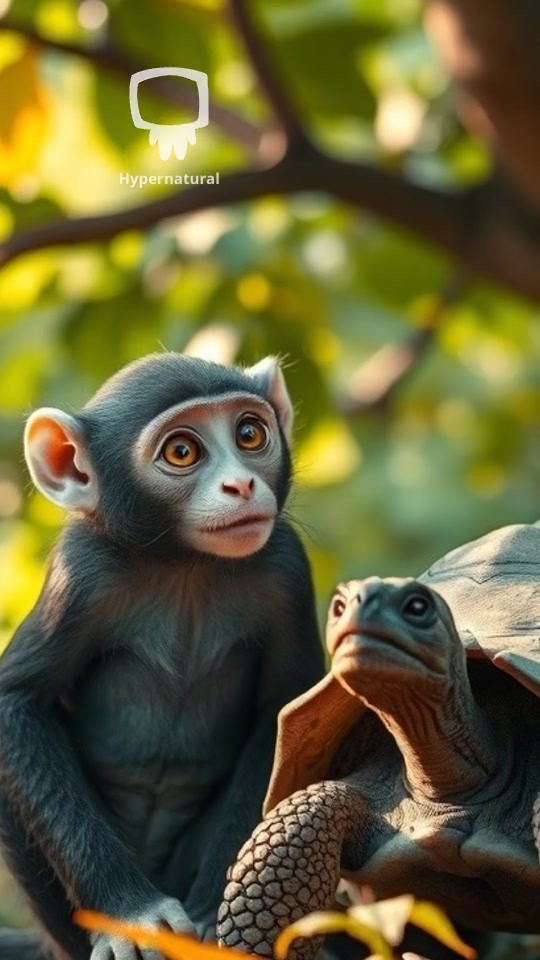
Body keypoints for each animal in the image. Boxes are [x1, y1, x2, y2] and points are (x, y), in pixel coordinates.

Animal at [0, 353, 324, 960]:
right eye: (181, 451)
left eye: (250, 434)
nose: (241, 483)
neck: (184, 564)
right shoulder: (82, 573)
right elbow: (17, 702)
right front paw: (132, 917)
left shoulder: (286, 566)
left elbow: (285, 713)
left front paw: (219, 914)